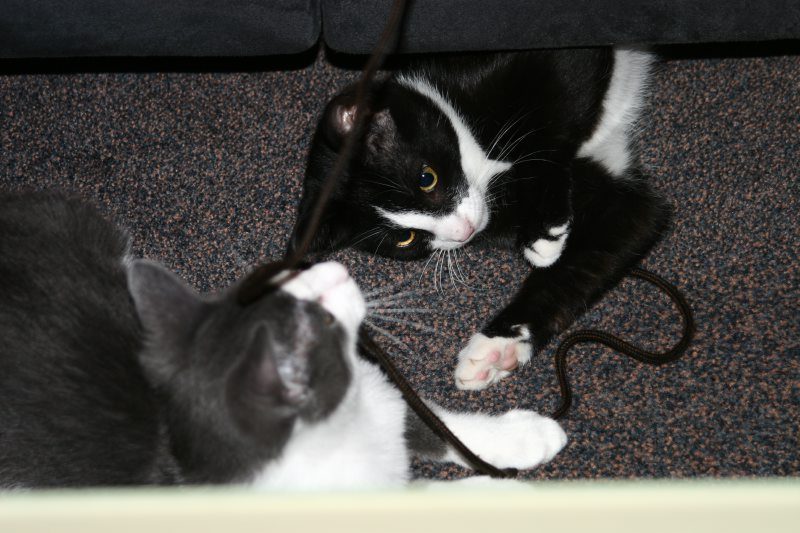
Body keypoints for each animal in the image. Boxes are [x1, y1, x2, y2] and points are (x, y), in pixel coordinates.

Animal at [292, 47, 670, 392]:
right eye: (406, 238)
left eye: (427, 178)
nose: (463, 232)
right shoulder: (618, 200)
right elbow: (593, 257)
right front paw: (499, 349)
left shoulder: (562, 61)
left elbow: (551, 127)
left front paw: (543, 231)